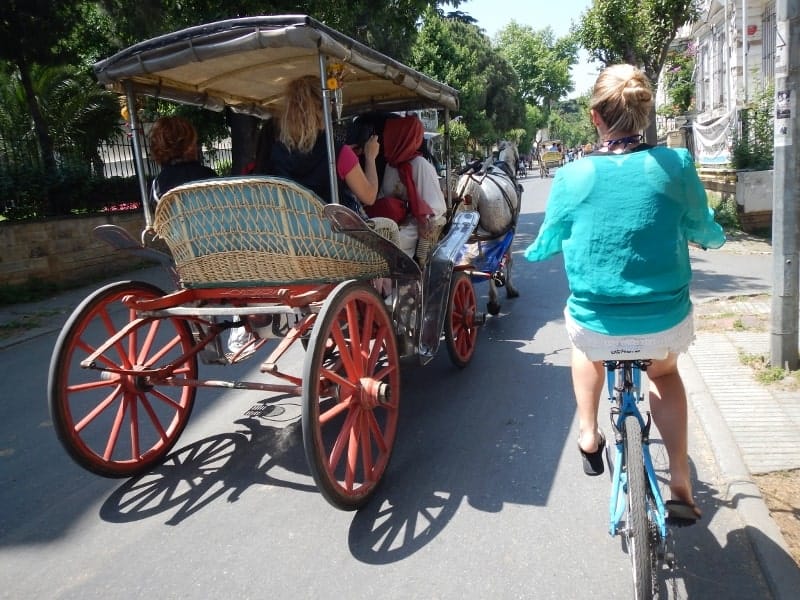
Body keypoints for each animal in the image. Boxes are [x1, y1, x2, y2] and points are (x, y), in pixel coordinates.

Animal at [454, 142, 520, 316]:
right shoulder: (510, 229)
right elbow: (509, 259)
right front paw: (510, 288)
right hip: (496, 233)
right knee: (491, 266)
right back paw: (494, 302)